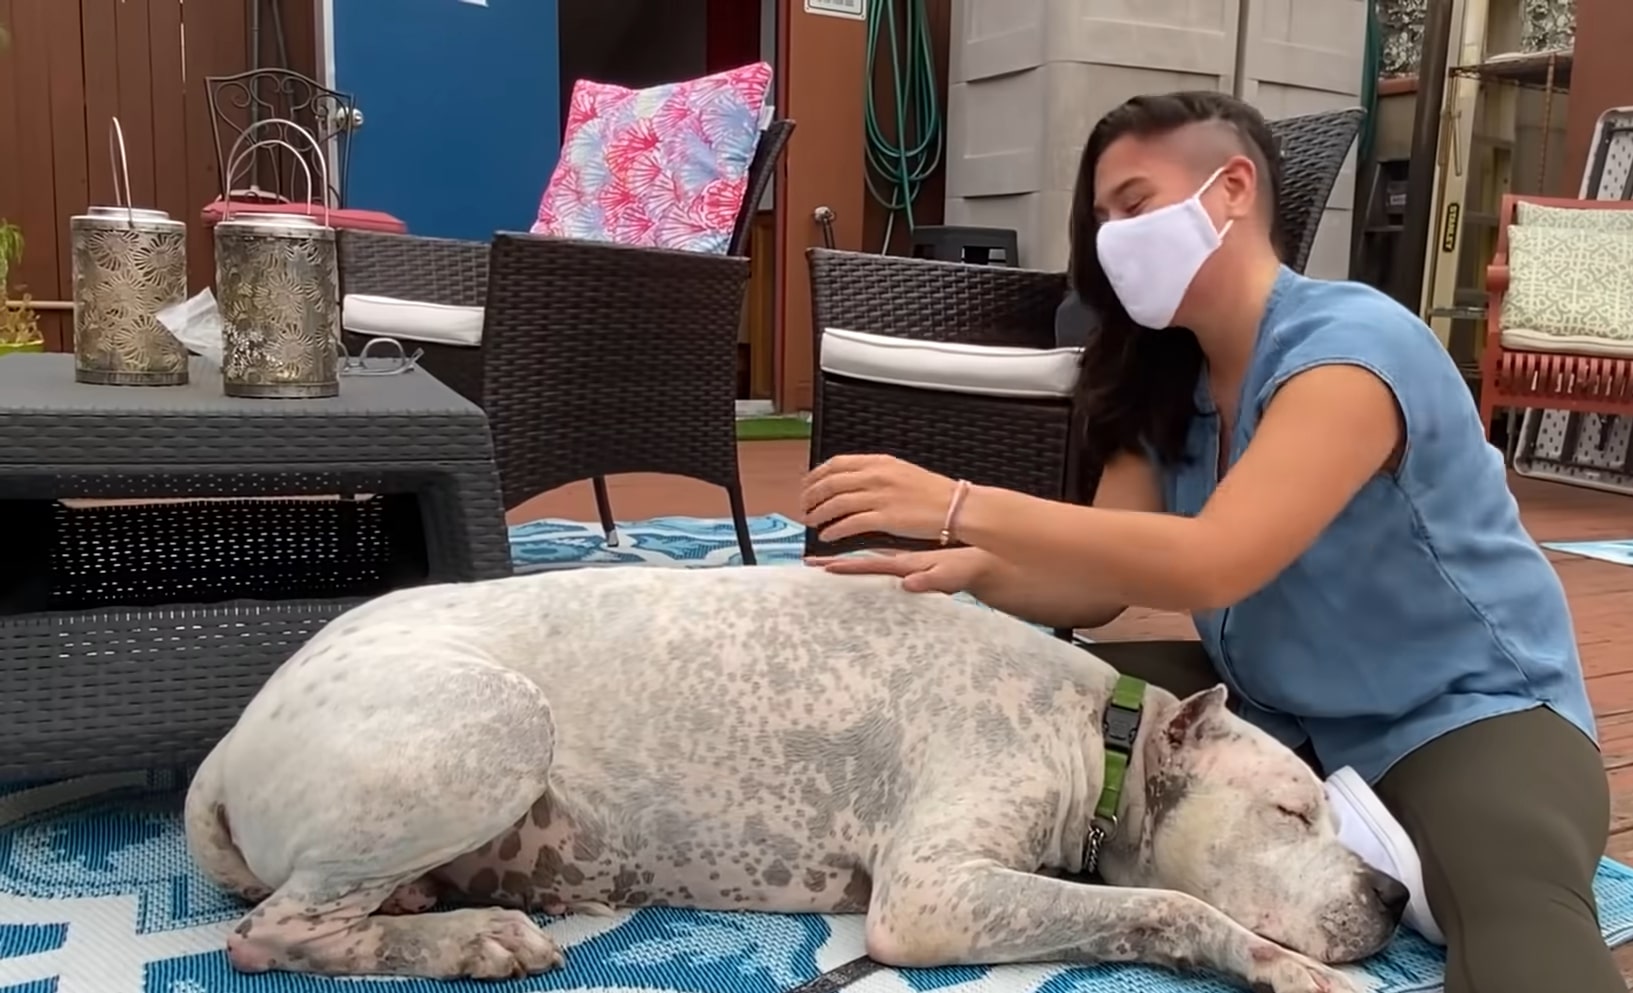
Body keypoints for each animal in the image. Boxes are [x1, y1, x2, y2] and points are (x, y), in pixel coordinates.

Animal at [185, 561, 1397, 986]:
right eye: (1293, 810)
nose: (1392, 894)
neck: (1094, 736)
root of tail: (227, 747)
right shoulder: (932, 895)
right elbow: (1166, 905)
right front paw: (1276, 964)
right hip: (498, 722)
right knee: (273, 933)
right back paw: (468, 939)